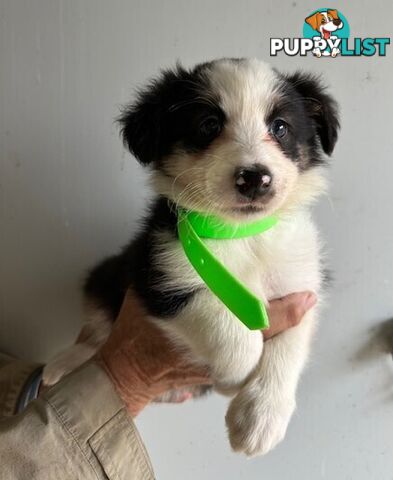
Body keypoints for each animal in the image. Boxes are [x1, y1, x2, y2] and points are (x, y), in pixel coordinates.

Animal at [42, 58, 336, 456]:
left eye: (280, 127)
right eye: (209, 124)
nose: (254, 178)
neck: (241, 234)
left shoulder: (302, 285)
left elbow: (289, 347)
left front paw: (261, 416)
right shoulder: (161, 272)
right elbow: (229, 326)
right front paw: (234, 375)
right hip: (105, 276)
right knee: (94, 336)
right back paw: (61, 364)